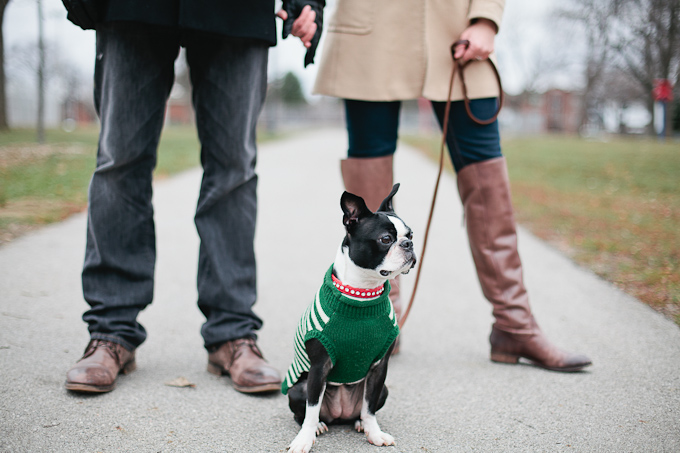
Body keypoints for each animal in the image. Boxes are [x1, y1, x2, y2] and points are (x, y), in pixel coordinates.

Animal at [280, 184, 414, 452]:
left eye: (411, 235)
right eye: (386, 239)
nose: (408, 245)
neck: (362, 294)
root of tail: (340, 414)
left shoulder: (379, 368)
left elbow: (369, 407)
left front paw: (374, 433)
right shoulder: (319, 367)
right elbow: (312, 409)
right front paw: (304, 439)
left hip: (384, 390)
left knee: (362, 410)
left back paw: (360, 423)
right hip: (297, 389)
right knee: (306, 412)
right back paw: (319, 426)